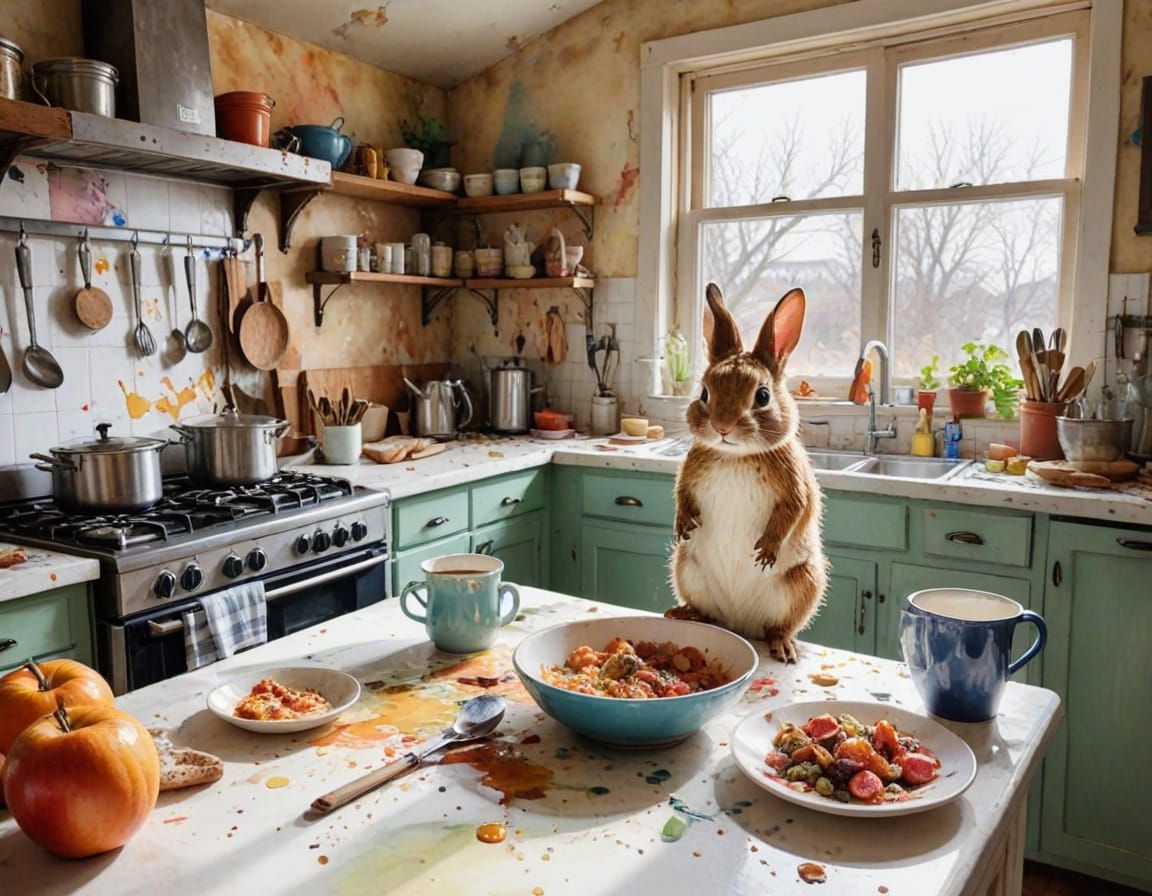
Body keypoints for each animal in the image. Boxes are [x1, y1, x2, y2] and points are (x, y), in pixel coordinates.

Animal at [666, 283, 828, 663]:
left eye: (763, 395)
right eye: (704, 392)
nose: (722, 427)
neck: (734, 455)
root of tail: (739, 622)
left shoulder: (793, 483)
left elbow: (792, 509)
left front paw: (766, 550)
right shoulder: (689, 473)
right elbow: (681, 494)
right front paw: (683, 524)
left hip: (802, 584)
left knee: (777, 627)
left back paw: (783, 647)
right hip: (687, 568)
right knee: (708, 612)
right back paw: (684, 613)